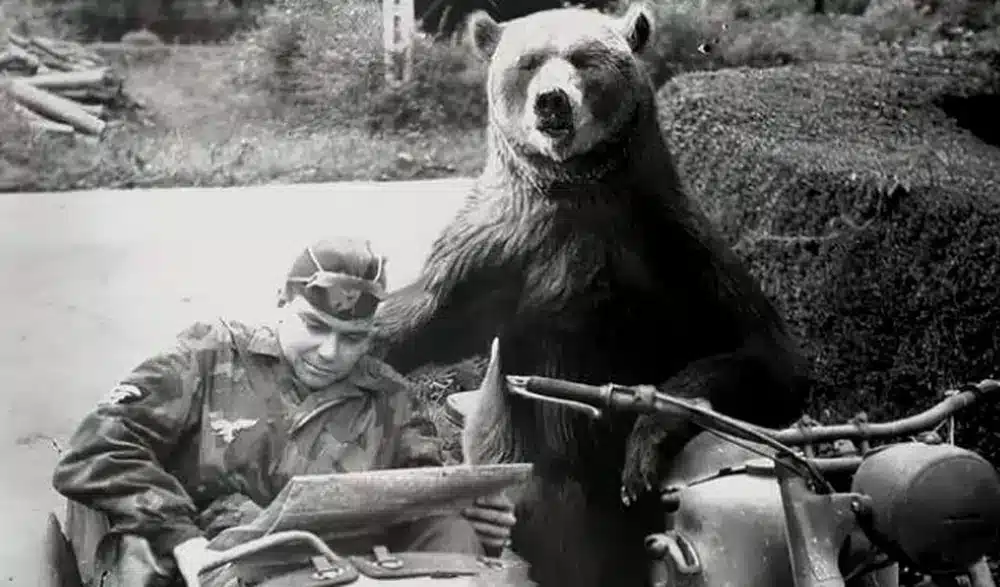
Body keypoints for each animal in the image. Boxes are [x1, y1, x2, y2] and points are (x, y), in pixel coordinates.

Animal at [372, 4, 811, 587]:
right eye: (528, 61)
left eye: (583, 59)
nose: (551, 100)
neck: (576, 187)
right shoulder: (496, 253)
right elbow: (423, 317)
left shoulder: (672, 247)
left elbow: (766, 356)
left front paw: (645, 443)